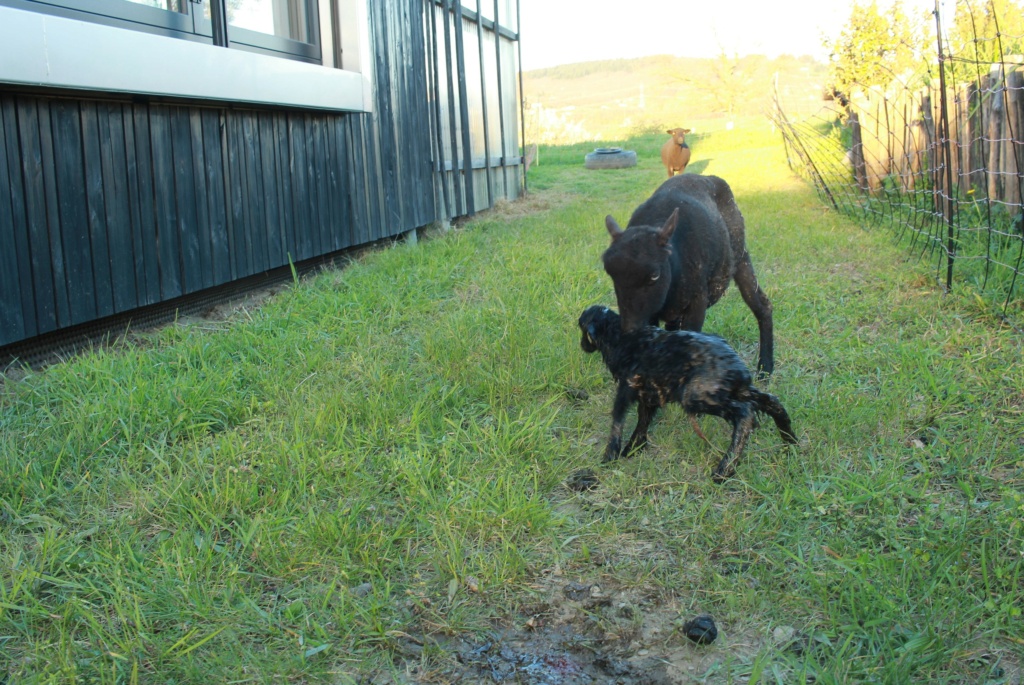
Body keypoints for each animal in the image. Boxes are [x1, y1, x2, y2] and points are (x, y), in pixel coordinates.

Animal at [581, 305, 794, 481]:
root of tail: (736, 368)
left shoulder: (626, 388)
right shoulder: (649, 391)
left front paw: (610, 455)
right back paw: (790, 443)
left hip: (699, 395)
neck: (618, 337)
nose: (583, 346)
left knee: (745, 413)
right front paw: (634, 447)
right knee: (772, 402)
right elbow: (643, 419)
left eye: (582, 328)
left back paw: (725, 469)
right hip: (736, 391)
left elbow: (618, 419)